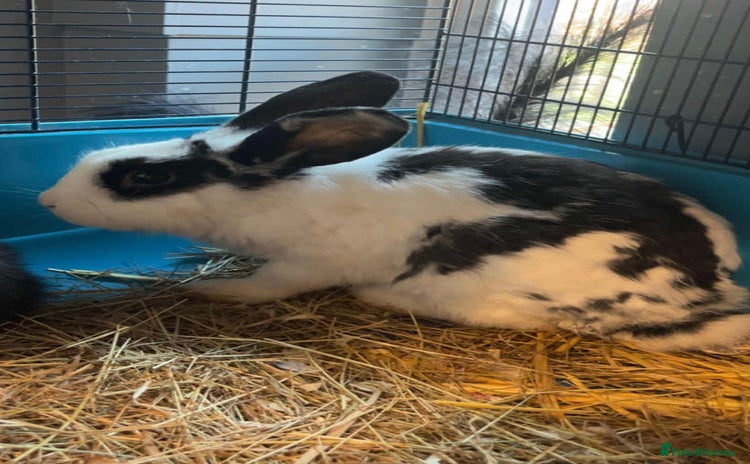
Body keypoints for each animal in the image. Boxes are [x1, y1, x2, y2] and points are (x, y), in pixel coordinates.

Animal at [38, 71, 749, 352]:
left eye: (145, 177)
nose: (47, 199)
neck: (277, 190)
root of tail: (711, 275)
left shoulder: (304, 265)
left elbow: (264, 287)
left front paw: (216, 289)